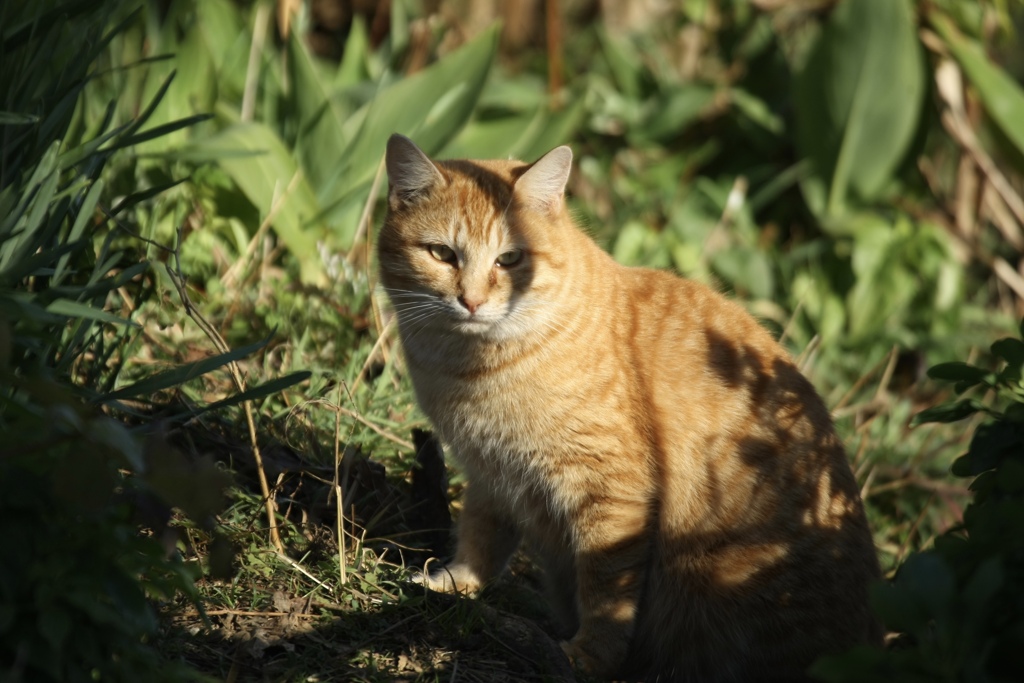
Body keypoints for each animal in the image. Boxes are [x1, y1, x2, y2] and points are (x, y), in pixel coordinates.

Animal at [376, 135, 880, 683]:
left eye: (509, 259)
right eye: (442, 254)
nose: (470, 301)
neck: (469, 370)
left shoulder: (611, 489)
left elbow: (605, 589)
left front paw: (589, 656)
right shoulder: (489, 473)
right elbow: (480, 538)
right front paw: (454, 584)